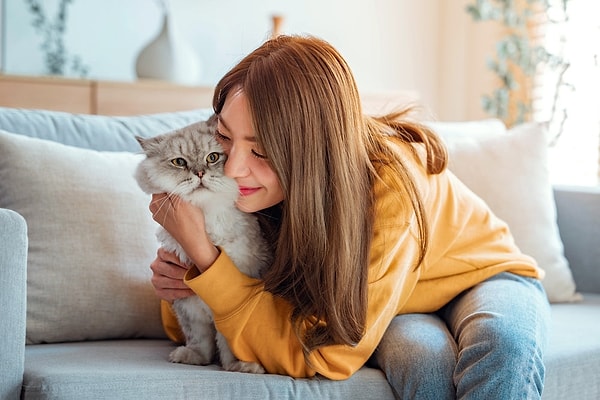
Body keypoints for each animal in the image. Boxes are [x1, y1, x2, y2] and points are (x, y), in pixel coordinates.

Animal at [135, 117, 270, 374]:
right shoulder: (188, 306)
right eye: (179, 162)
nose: (199, 173)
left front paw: (239, 366)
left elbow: (229, 342)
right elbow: (199, 340)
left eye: (212, 158)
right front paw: (194, 358)